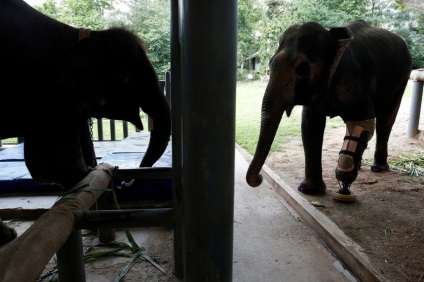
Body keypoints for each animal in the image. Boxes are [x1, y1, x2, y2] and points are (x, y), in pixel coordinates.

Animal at [245, 19, 410, 198]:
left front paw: (344, 184)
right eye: (270, 65)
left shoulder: (355, 78)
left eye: (302, 69)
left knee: (385, 122)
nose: (260, 178)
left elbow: (363, 122)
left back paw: (378, 168)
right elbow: (311, 126)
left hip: (403, 79)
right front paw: (310, 191)